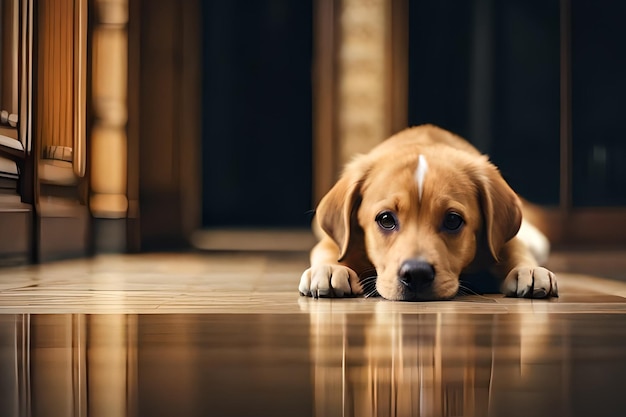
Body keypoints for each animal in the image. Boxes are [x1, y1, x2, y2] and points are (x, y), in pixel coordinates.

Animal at [300, 125, 560, 300]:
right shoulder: (339, 239)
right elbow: (329, 250)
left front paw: (528, 270)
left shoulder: (499, 240)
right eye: (385, 219)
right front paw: (329, 269)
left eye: (453, 220)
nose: (416, 275)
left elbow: (514, 250)